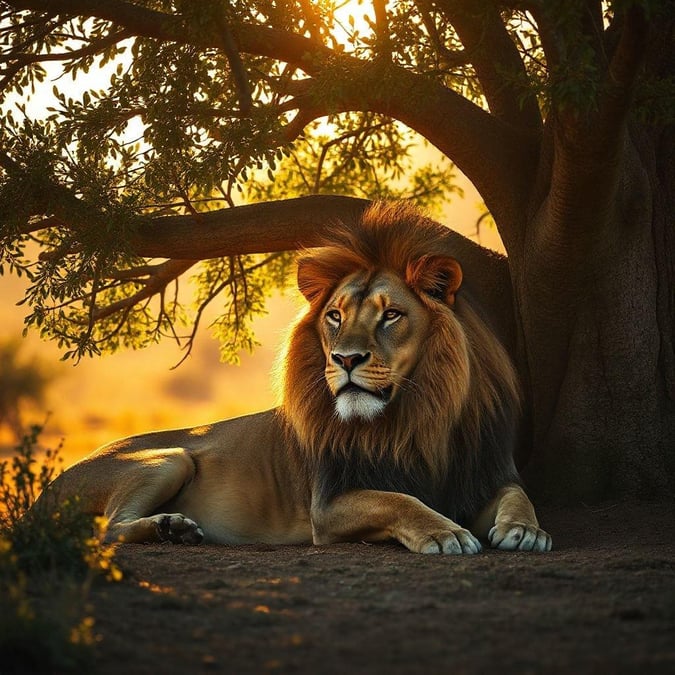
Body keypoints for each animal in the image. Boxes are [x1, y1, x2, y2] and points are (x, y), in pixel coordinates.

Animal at [39, 201, 552, 556]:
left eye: (391, 315)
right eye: (334, 316)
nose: (346, 359)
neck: (417, 413)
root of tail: (45, 491)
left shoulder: (482, 471)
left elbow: (518, 494)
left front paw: (525, 529)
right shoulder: (327, 505)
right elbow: (400, 500)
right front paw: (446, 532)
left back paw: (175, 528)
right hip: (170, 458)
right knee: (106, 529)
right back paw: (171, 527)